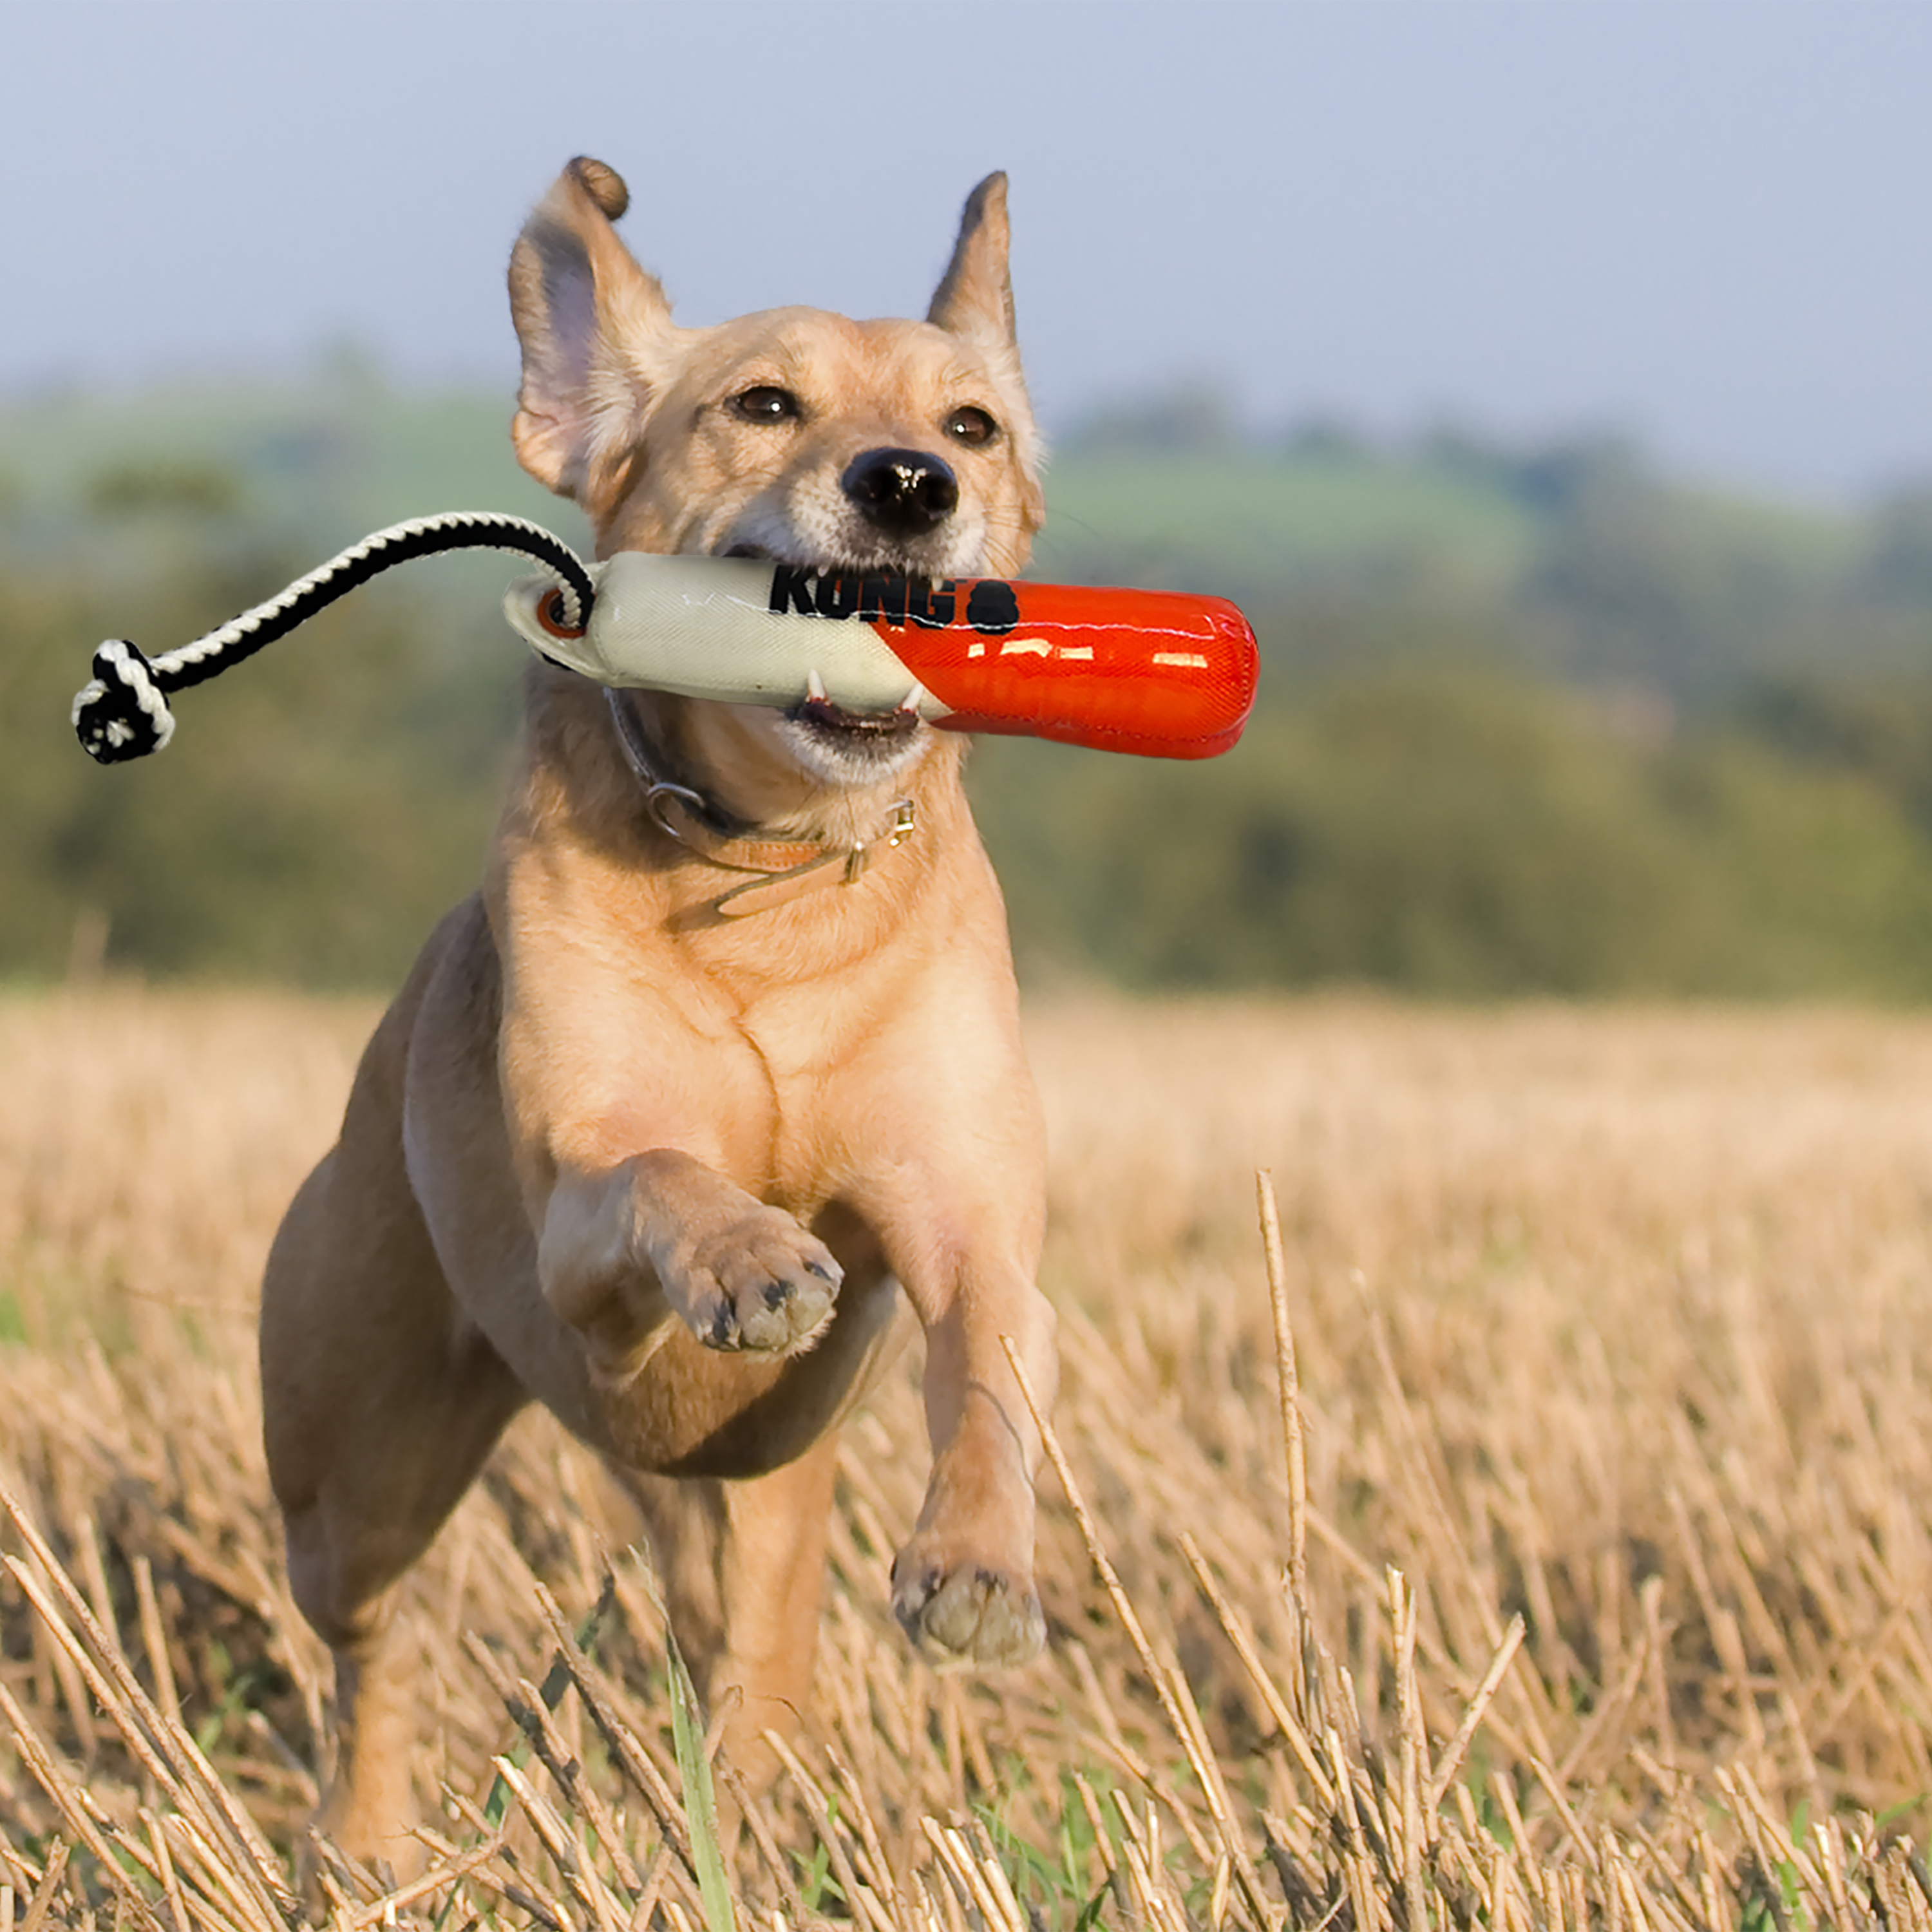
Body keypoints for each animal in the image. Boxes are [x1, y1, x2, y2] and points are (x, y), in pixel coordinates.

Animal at [257, 158, 1059, 1862]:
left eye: (971, 426)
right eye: (763, 404)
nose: (908, 484)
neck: (774, 879)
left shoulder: (966, 1213)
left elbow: (986, 1366)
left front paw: (976, 1563)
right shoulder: (583, 1217)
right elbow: (664, 1171)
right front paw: (752, 1253)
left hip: (746, 1530)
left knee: (742, 1662)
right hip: (352, 1473)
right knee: (369, 1650)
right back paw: (365, 1843)